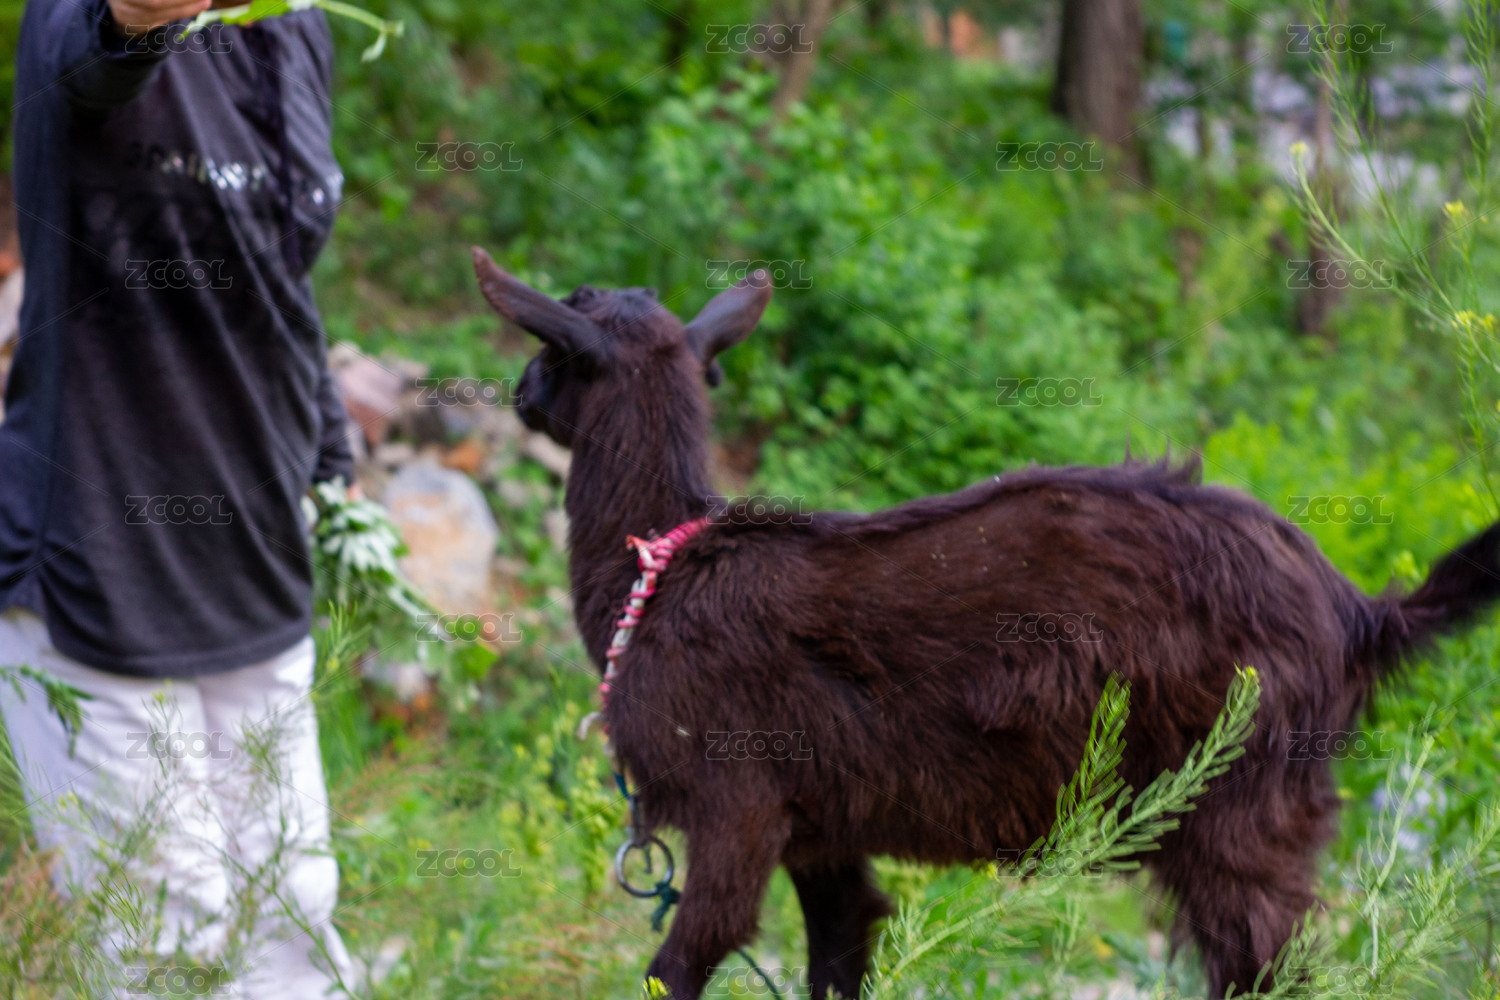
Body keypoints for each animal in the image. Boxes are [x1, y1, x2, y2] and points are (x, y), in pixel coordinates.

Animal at [472, 248, 1500, 999]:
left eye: (556, 345)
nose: (517, 388)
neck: (662, 565)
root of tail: (1361, 611)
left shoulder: (738, 806)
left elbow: (677, 965)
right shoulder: (821, 830)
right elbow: (842, 952)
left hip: (1242, 804)